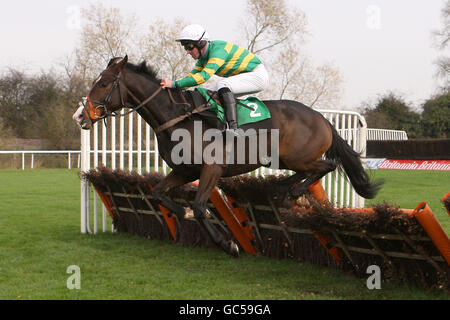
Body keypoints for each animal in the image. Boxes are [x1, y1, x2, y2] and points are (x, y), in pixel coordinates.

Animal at [72, 55, 382, 258]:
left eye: (103, 83)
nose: (80, 117)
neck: (178, 117)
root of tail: (321, 117)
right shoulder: (184, 171)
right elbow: (158, 193)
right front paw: (181, 211)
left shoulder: (212, 169)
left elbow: (200, 207)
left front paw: (228, 243)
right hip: (283, 159)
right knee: (309, 172)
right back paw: (284, 190)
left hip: (300, 156)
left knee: (326, 165)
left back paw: (292, 193)